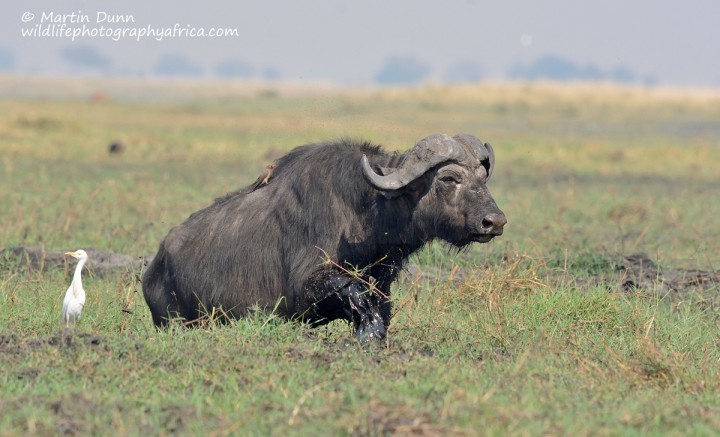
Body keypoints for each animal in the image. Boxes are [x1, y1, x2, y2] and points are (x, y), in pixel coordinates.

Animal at [143, 133, 506, 340]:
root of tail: (154, 267)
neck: (368, 209)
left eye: (482, 176)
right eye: (448, 178)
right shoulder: (308, 286)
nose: (495, 221)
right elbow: (356, 295)